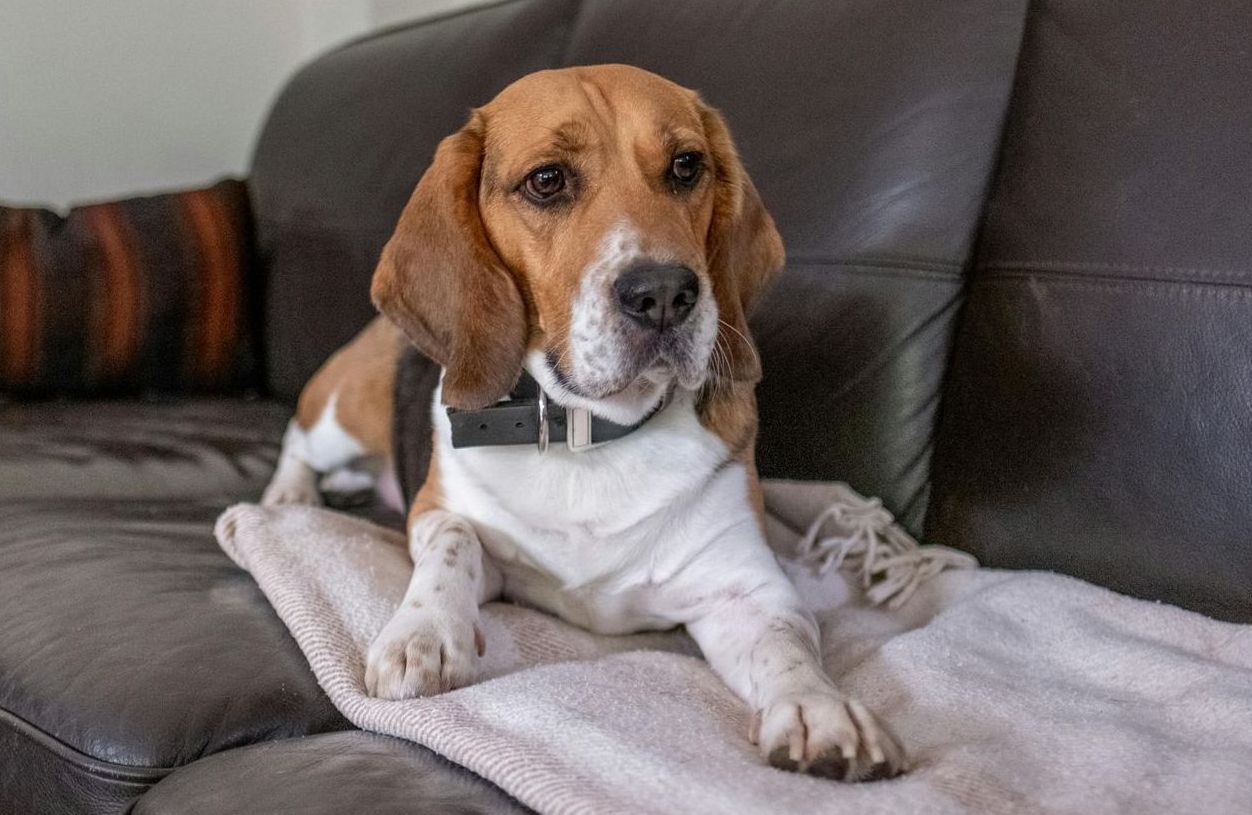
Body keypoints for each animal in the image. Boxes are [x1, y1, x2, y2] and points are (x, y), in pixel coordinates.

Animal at [264, 65, 906, 786]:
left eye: (687, 166)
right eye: (547, 180)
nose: (665, 293)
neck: (587, 432)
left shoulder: (746, 588)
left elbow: (787, 645)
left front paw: (819, 710)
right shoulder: (441, 514)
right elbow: (455, 541)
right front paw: (421, 634)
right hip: (340, 410)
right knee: (297, 438)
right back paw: (288, 496)